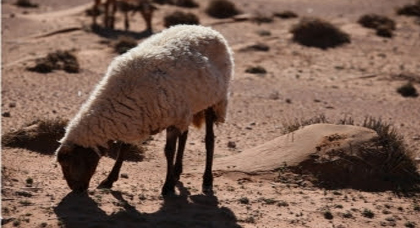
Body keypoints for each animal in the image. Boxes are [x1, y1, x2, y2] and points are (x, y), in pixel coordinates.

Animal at [54, 25, 235, 196]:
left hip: (214, 100)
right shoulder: (135, 117)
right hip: (188, 107)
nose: (76, 189)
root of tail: (206, 29)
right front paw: (109, 180)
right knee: (185, 136)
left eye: (69, 164)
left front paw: (167, 186)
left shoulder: (168, 117)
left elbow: (168, 151)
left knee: (209, 139)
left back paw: (207, 180)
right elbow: (124, 148)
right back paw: (177, 171)